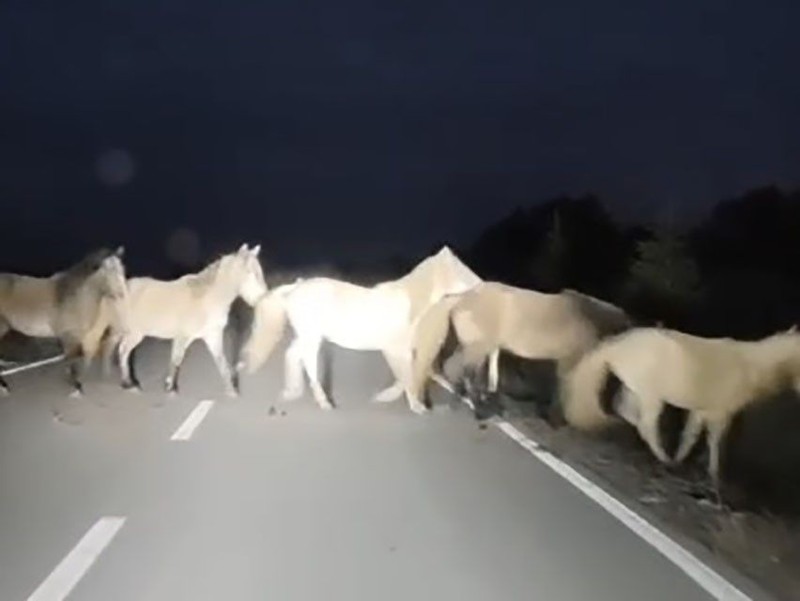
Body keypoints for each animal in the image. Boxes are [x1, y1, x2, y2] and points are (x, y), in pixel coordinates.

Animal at [239, 245, 482, 412]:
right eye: (461, 269)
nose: (481, 284)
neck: (410, 302)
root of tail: (294, 288)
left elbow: (413, 376)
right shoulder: (396, 350)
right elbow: (407, 377)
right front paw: (416, 406)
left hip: (309, 336)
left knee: (292, 355)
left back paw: (292, 392)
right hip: (311, 338)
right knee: (307, 362)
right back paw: (324, 402)